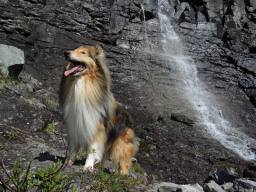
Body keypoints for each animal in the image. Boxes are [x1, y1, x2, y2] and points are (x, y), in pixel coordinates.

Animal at [58, 44, 138, 175]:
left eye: (83, 52)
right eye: (74, 49)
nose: (66, 53)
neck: (82, 84)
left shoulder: (97, 128)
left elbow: (93, 150)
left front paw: (88, 167)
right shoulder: (74, 125)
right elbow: (73, 148)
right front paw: (68, 163)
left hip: (121, 143)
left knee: (123, 159)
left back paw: (121, 175)